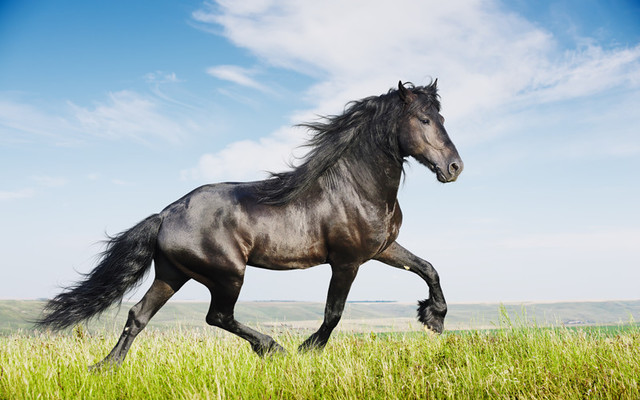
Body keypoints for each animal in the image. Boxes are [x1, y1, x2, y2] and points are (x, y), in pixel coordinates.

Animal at [36, 80, 463, 367]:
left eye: (442, 117)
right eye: (425, 119)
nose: (454, 168)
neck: (355, 187)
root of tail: (166, 214)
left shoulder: (382, 249)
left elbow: (428, 268)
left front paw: (434, 319)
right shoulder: (347, 261)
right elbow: (334, 313)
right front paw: (308, 349)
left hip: (172, 273)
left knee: (138, 315)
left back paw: (105, 368)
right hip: (227, 274)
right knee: (217, 316)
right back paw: (272, 348)